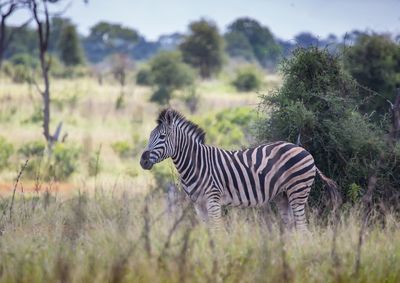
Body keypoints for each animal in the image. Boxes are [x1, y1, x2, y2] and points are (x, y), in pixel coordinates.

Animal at [140, 108, 340, 231]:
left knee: (303, 228)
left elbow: (218, 230)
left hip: (298, 191)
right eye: (150, 135)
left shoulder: (213, 200)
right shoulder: (198, 204)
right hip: (282, 195)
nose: (142, 161)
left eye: (162, 137)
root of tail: (302, 149)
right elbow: (208, 232)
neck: (196, 164)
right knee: (292, 226)